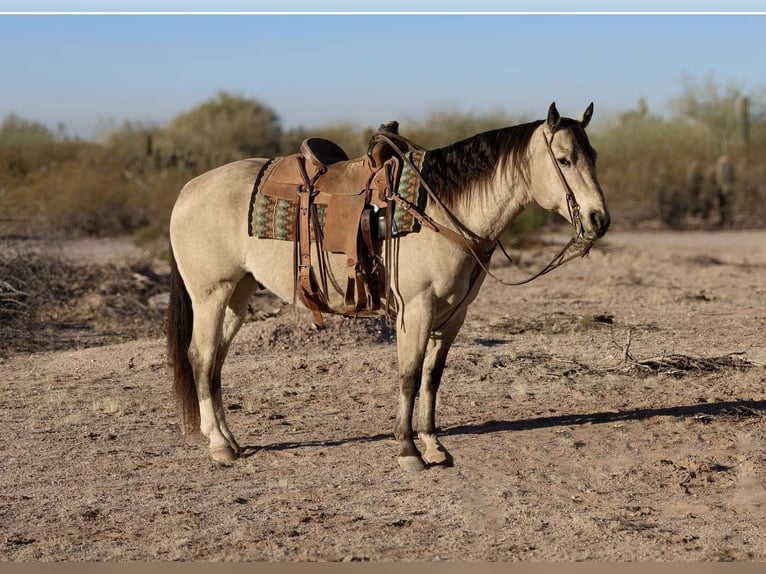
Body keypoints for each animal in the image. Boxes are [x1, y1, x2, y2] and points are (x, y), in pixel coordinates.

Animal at [167, 102, 610, 471]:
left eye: (594, 156)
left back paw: (229, 440)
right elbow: (409, 376)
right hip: (211, 294)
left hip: (237, 295)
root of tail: (187, 190)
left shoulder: (453, 315)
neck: (442, 210)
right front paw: (408, 450)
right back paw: (219, 446)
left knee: (216, 362)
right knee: (201, 358)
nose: (598, 220)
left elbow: (432, 377)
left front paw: (434, 447)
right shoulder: (416, 309)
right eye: (565, 160)